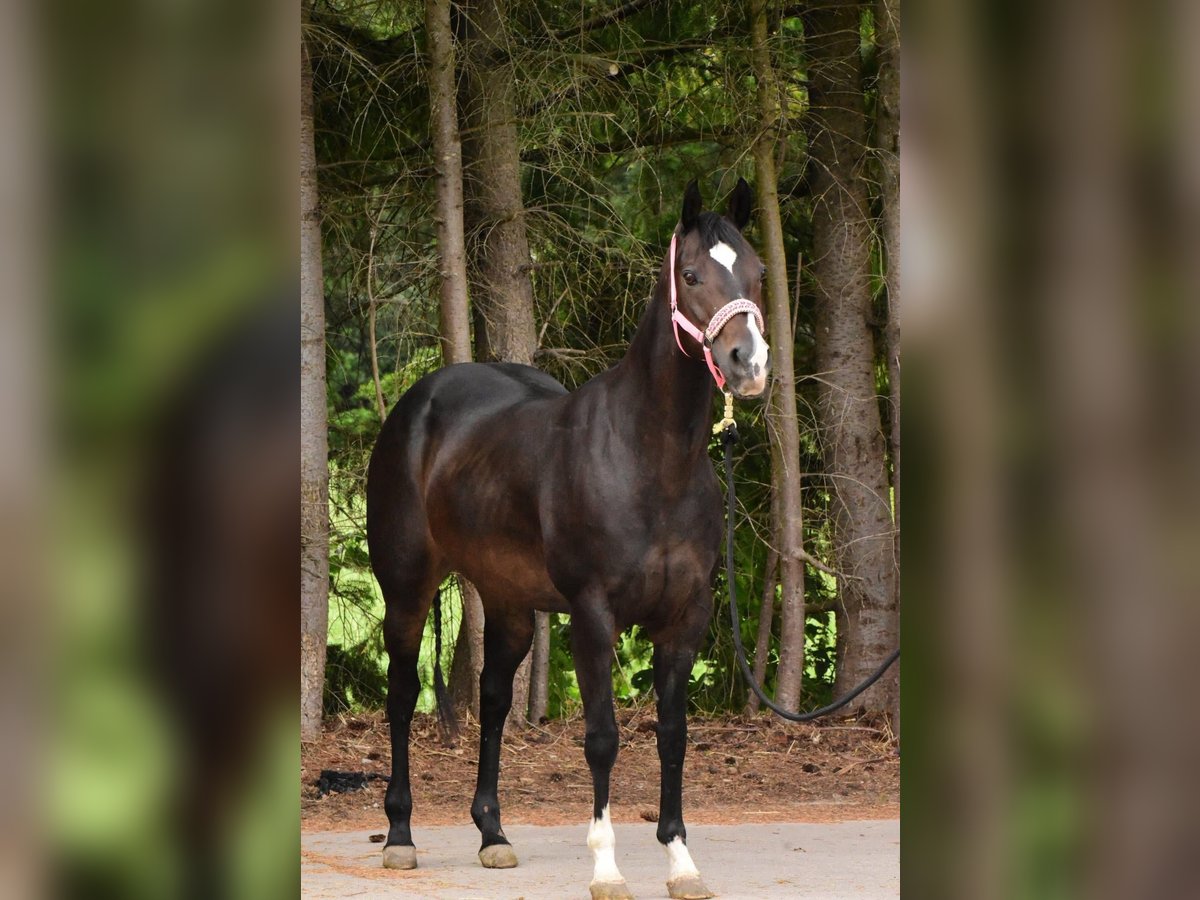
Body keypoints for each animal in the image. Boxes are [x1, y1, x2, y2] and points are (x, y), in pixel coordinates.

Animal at [366, 178, 769, 899]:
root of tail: (418, 403)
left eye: (755, 274)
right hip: (407, 590)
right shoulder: (592, 614)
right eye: (692, 275)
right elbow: (602, 737)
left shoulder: (686, 618)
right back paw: (402, 836)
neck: (649, 459)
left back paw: (493, 835)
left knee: (494, 700)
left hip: (508, 603)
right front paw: (606, 867)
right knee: (403, 696)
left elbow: (673, 736)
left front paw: (681, 862)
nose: (748, 363)